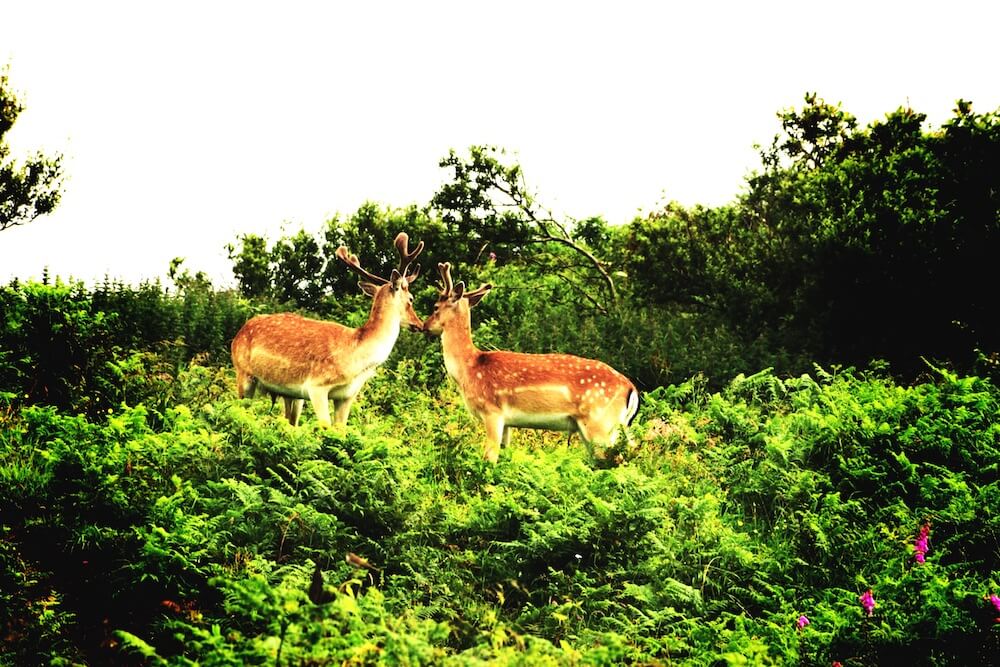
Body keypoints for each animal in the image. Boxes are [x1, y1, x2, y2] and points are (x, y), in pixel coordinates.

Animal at [230, 232, 424, 426]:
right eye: (411, 298)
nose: (419, 324)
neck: (356, 359)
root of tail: (237, 335)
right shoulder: (316, 386)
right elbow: (325, 426)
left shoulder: (347, 396)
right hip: (244, 375)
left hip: (291, 395)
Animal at [422, 262, 639, 463]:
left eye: (435, 307)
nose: (424, 326)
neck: (468, 369)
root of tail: (631, 388)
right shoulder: (507, 422)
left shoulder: (492, 411)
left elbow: (489, 457)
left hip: (600, 422)